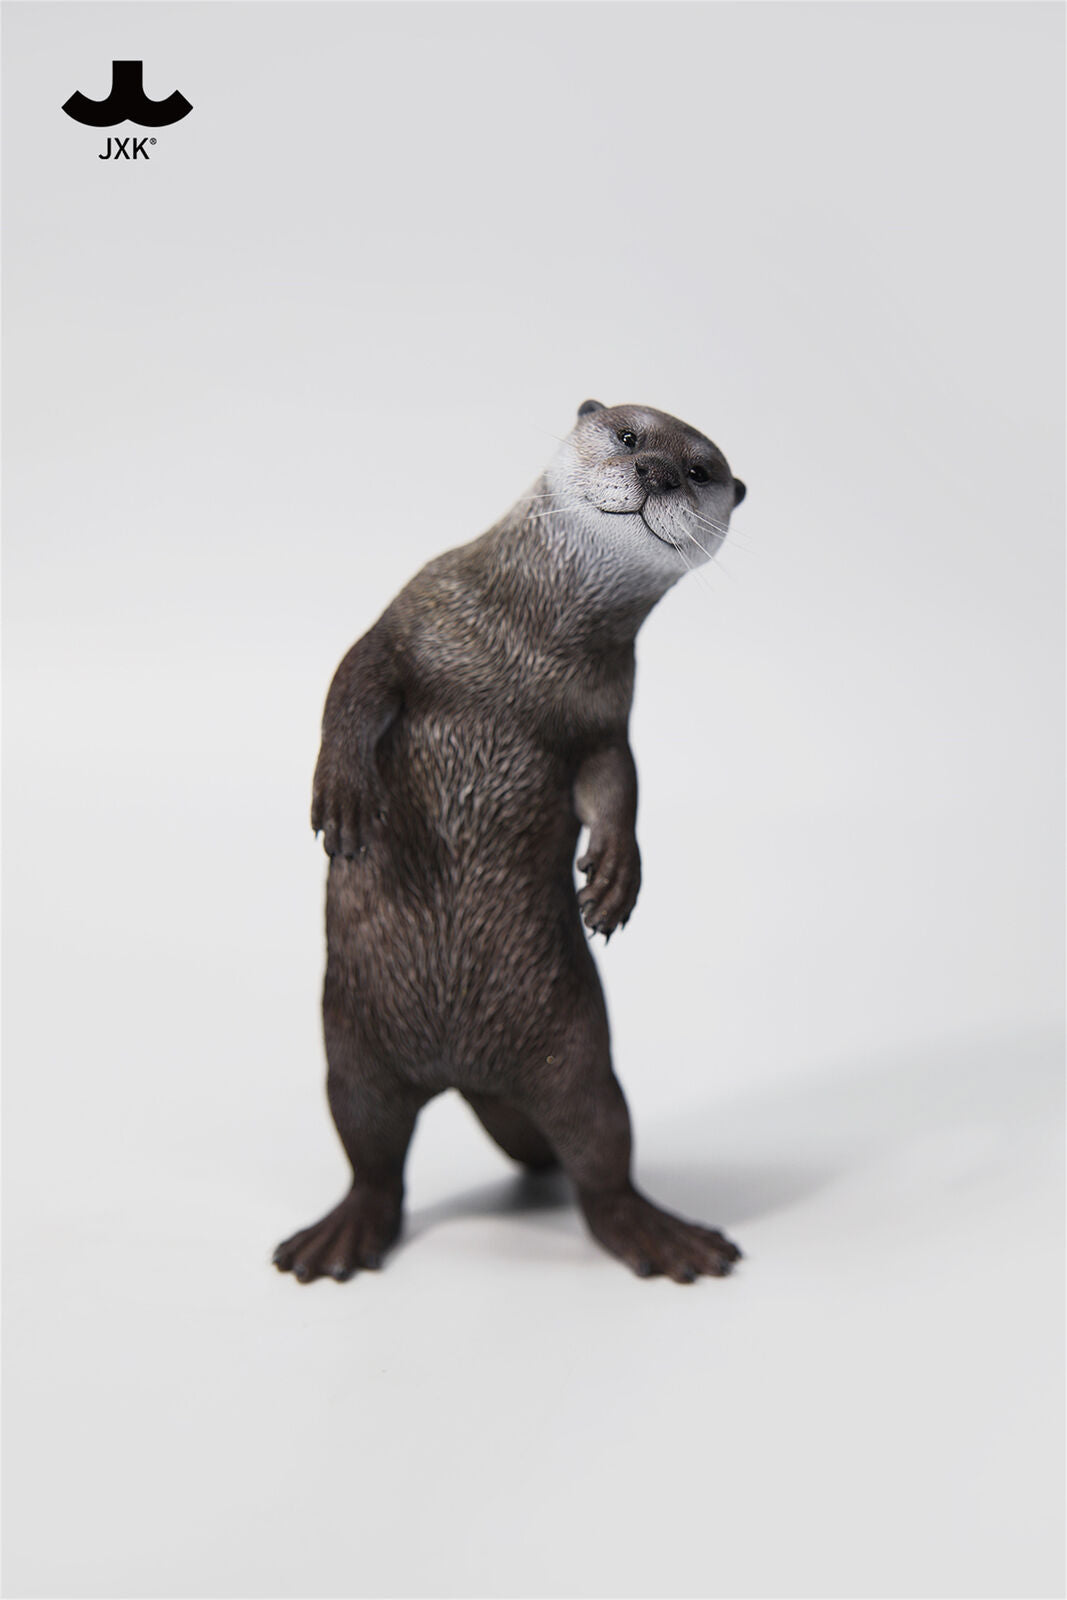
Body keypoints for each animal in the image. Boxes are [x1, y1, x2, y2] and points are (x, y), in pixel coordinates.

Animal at [273, 401, 747, 1285]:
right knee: (371, 1157)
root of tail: (466, 1077)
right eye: (628, 436)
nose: (657, 473)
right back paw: (340, 1235)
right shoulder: (415, 613)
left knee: (601, 1158)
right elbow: (353, 680)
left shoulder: (605, 712)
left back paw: (660, 1235)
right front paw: (344, 797)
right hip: (353, 1053)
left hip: (578, 1057)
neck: (529, 648)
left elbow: (616, 781)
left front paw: (616, 876)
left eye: (700, 470)